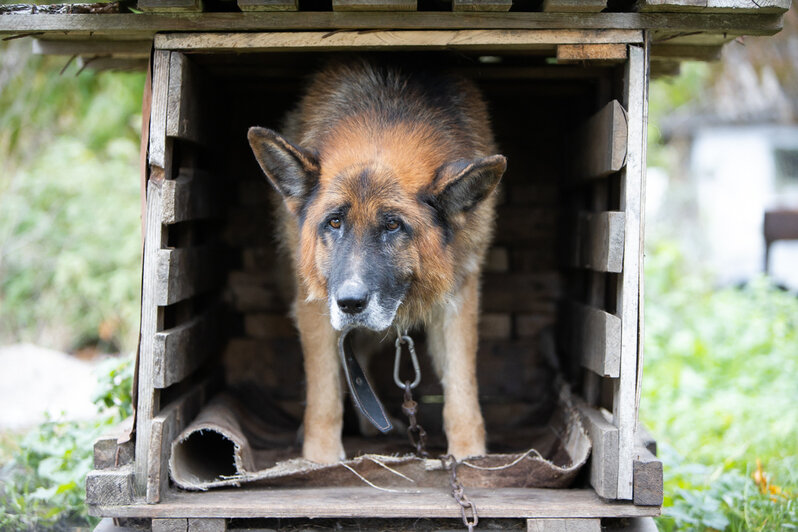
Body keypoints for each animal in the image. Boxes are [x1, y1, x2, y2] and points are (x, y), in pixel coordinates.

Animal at [248, 58, 506, 464]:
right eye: (334, 222)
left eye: (392, 225)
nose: (351, 303)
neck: (387, 112)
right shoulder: (315, 302)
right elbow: (324, 391)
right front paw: (321, 460)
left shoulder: (459, 296)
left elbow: (462, 391)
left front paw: (470, 458)